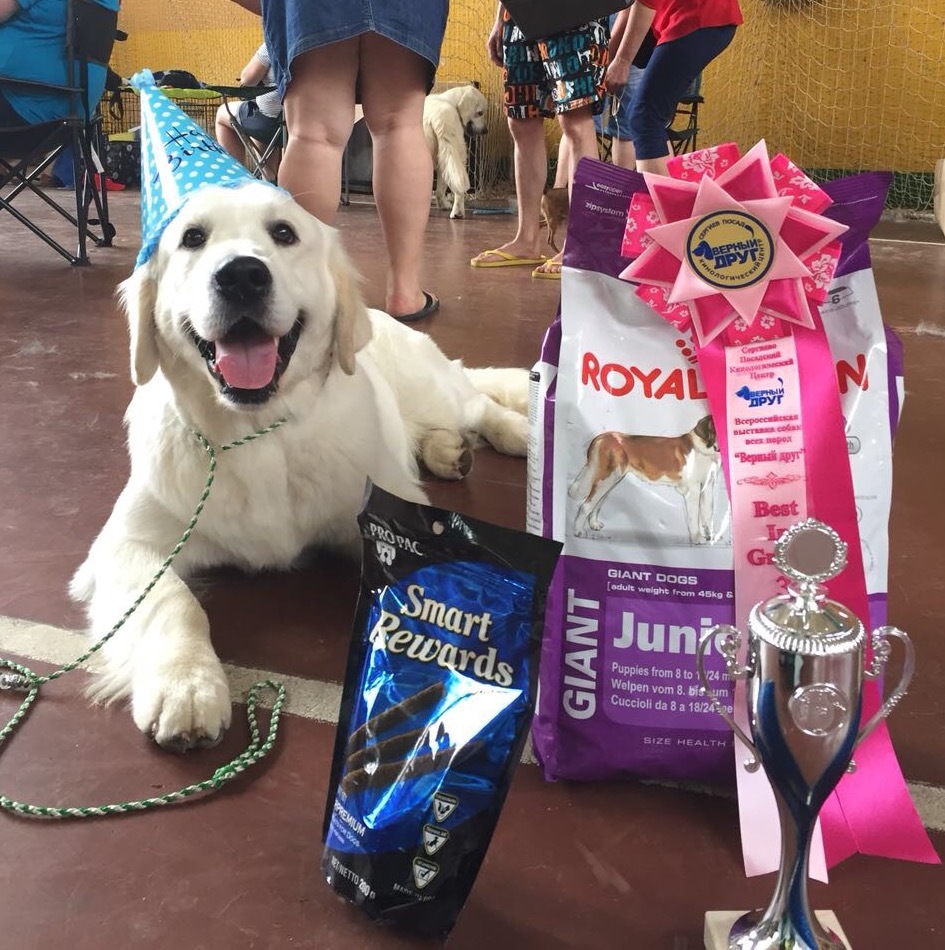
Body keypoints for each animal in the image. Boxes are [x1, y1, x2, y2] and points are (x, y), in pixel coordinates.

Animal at [72, 182, 532, 756]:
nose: (241, 275)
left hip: (431, 388)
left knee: (476, 401)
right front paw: (187, 686)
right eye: (192, 238)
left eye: (284, 233)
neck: (258, 429)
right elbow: (173, 600)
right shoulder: (125, 544)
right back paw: (448, 452)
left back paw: (515, 433)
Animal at [424, 84, 490, 219]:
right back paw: (458, 212)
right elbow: (442, 188)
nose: (485, 131)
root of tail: (436, 117)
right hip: (456, 150)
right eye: (480, 113)